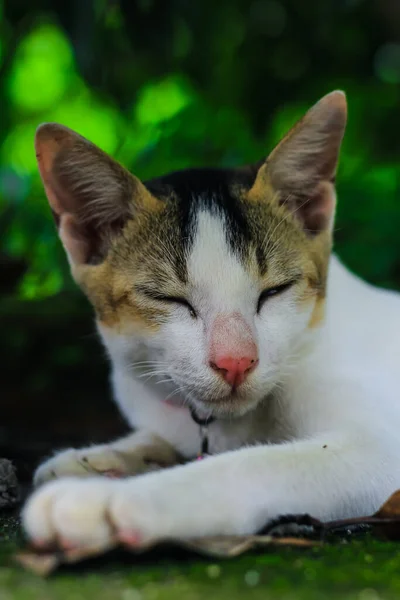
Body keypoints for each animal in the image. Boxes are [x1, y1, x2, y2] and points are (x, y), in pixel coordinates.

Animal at [23, 90, 400, 548]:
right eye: (167, 298)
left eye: (275, 291)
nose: (236, 362)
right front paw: (97, 457)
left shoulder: (379, 452)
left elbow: (252, 465)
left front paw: (112, 499)